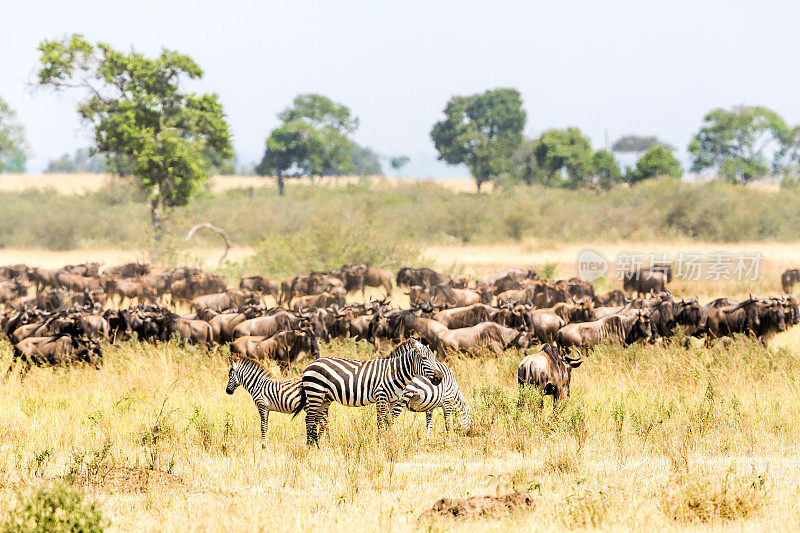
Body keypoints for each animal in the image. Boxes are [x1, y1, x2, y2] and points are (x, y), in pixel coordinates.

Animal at [296, 336, 444, 444]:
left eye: (434, 358)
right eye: (424, 358)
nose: (439, 377)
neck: (394, 372)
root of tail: (311, 364)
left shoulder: (393, 400)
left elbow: (389, 421)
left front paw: (388, 441)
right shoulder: (381, 395)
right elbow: (380, 421)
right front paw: (380, 441)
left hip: (325, 397)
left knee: (319, 418)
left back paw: (320, 444)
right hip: (315, 392)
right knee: (309, 418)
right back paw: (310, 446)